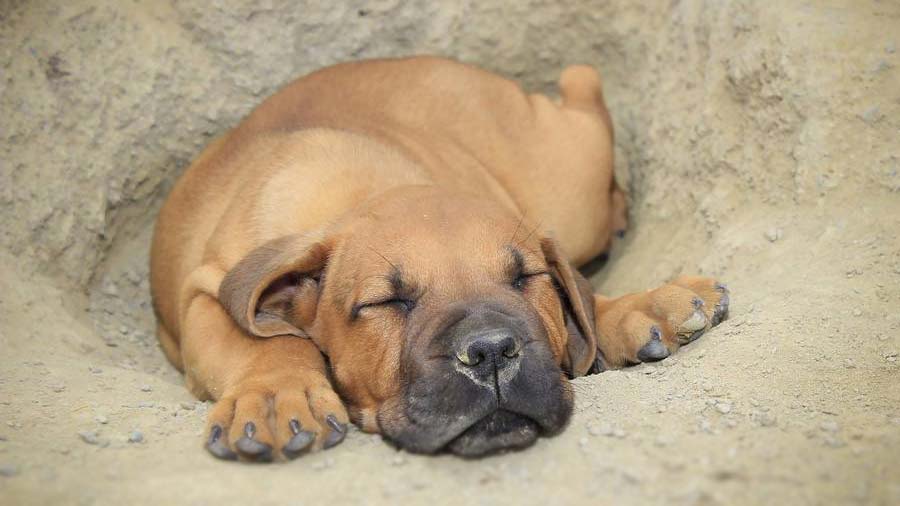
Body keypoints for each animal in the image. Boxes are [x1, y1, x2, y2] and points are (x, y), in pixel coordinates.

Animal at [151, 57, 732, 460]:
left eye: (525, 278)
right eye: (389, 302)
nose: (492, 352)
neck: (361, 196)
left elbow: (581, 300)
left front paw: (639, 307)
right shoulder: (204, 295)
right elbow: (264, 342)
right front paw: (276, 396)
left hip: (567, 189)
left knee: (585, 90)